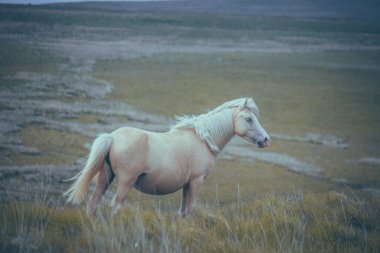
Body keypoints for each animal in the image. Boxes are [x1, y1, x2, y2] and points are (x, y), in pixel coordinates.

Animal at [63, 98, 270, 216]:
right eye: (249, 119)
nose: (266, 139)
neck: (202, 139)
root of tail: (112, 137)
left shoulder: (187, 185)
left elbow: (183, 212)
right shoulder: (196, 182)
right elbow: (191, 210)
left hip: (105, 178)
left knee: (93, 204)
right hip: (125, 182)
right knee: (115, 206)